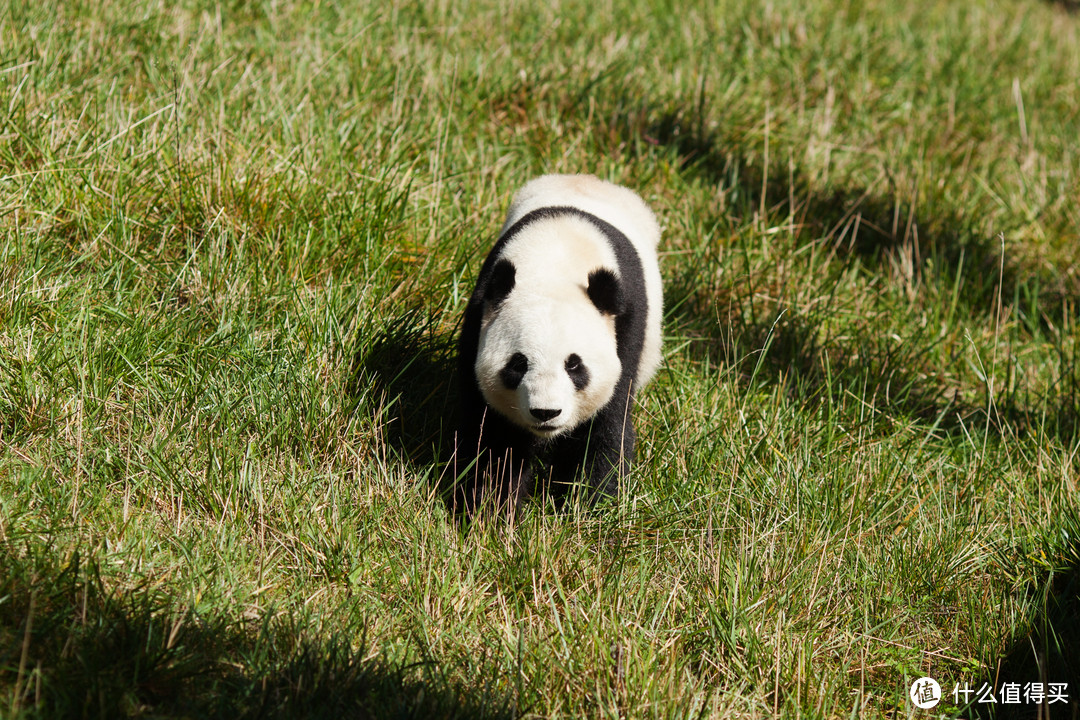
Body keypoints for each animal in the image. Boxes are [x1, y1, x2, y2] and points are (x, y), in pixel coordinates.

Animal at [451, 173, 660, 511]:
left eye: (574, 366)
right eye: (518, 364)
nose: (545, 413)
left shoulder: (626, 330)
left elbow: (604, 426)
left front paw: (589, 506)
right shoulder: (481, 312)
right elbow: (495, 437)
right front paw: (491, 509)